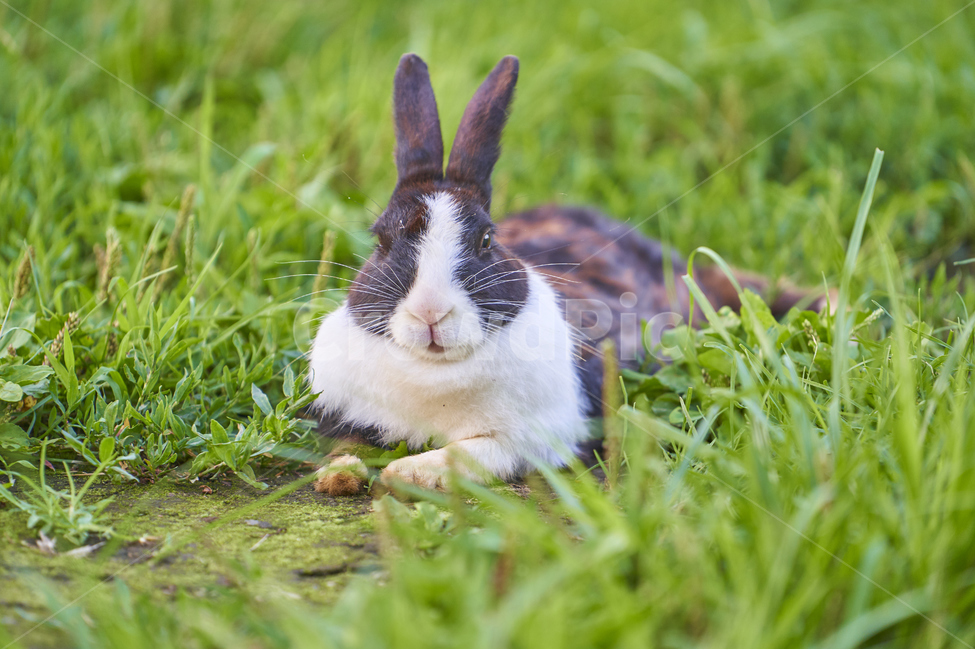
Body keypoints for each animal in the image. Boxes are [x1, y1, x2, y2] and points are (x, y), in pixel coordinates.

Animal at [308, 54, 830, 496]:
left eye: (486, 241)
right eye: (380, 240)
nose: (430, 313)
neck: (434, 371)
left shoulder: (531, 437)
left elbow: (469, 453)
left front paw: (408, 472)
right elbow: (345, 446)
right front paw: (339, 476)